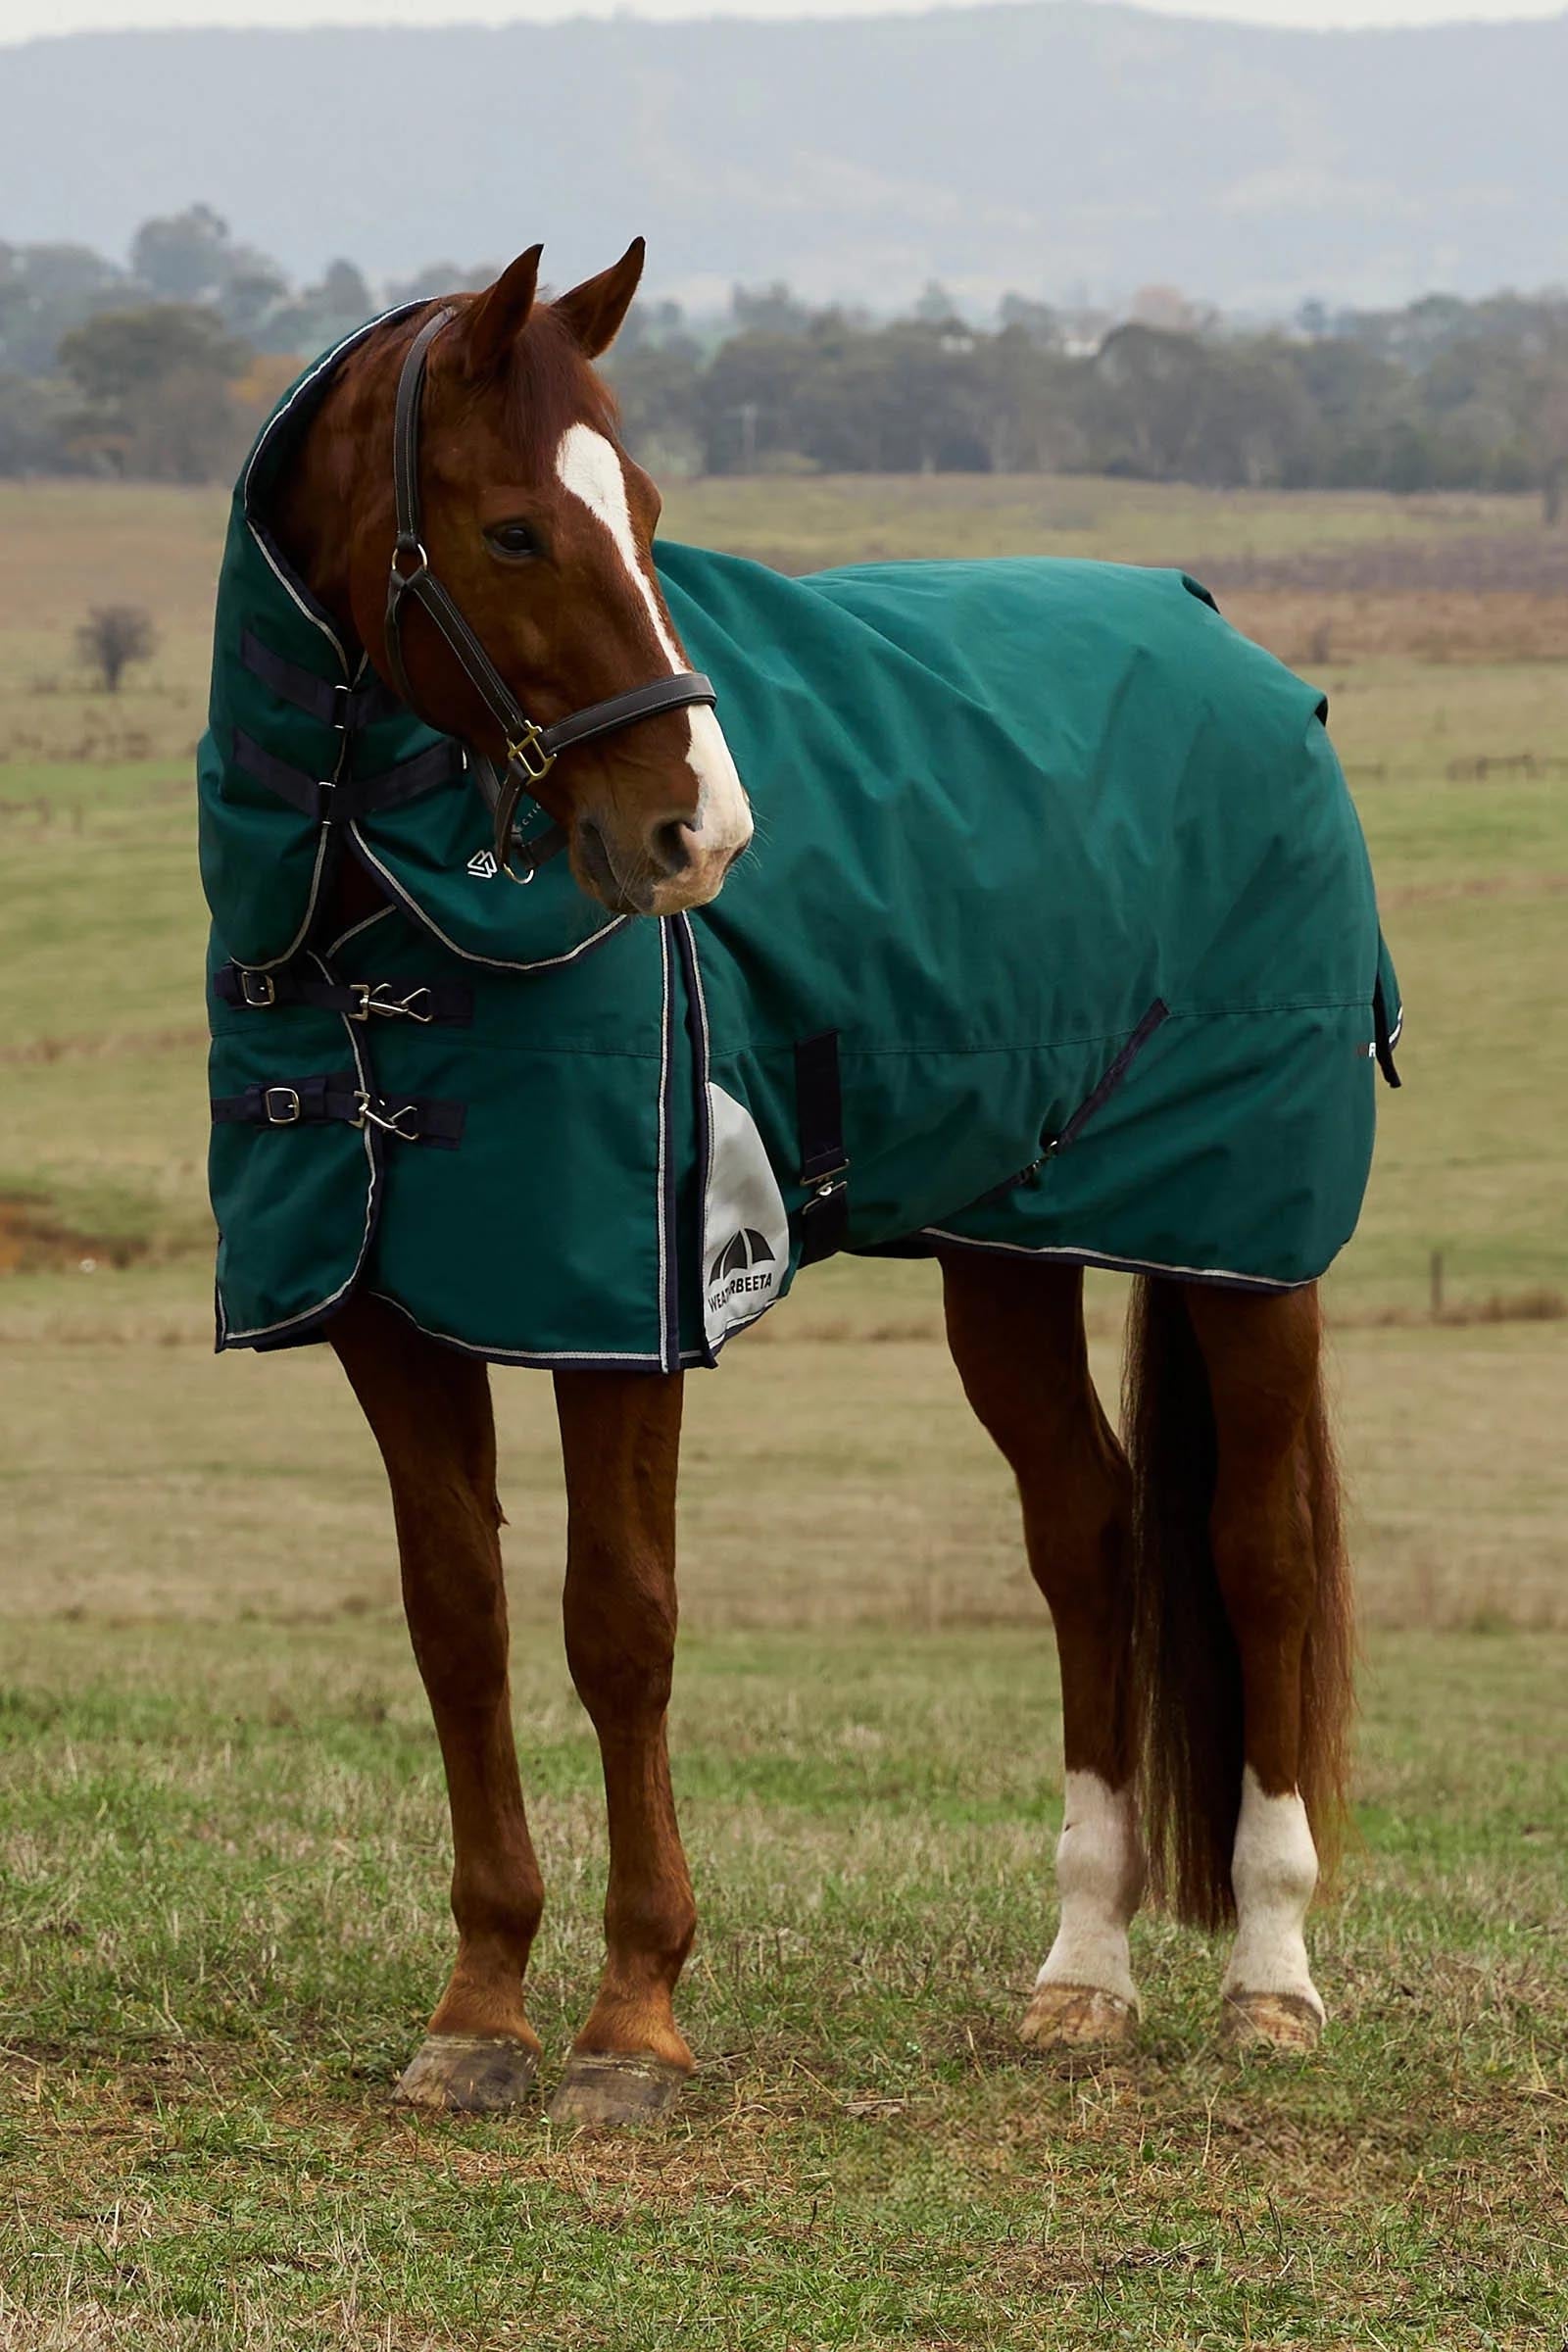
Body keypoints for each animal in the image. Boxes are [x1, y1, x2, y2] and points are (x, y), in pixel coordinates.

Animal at [252, 238, 1355, 2130]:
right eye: (513, 531)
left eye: (648, 512)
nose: (701, 834)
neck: (379, 933)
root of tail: (1225, 639)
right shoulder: (395, 1324)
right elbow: (459, 1627)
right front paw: (479, 2011)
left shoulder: (632, 1313)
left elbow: (618, 1625)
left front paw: (632, 2023)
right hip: (1012, 1252)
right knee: (1091, 1539)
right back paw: (1084, 1971)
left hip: (1245, 1249)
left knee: (1255, 1550)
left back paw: (1270, 1975)